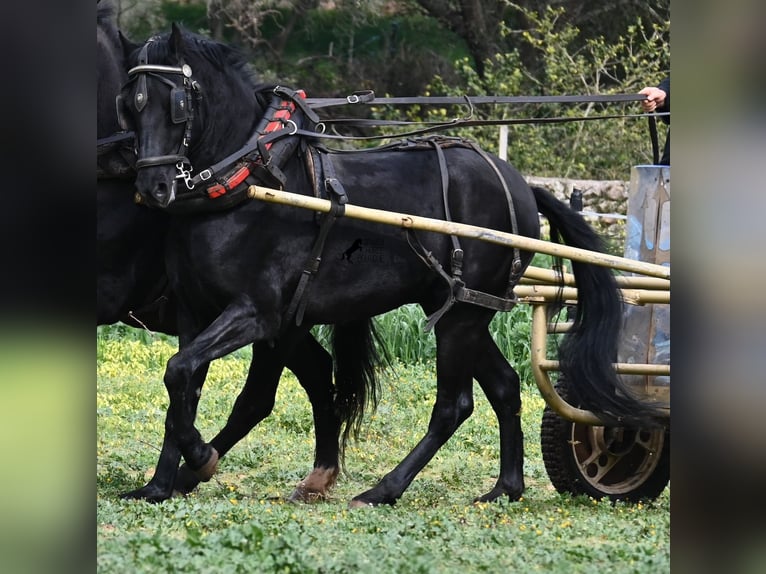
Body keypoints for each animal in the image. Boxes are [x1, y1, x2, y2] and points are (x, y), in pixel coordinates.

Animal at [119, 24, 662, 506]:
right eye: (131, 104)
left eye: (176, 102)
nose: (153, 188)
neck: (250, 183)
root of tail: (521, 184)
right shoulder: (195, 313)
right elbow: (182, 385)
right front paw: (160, 484)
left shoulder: (261, 315)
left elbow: (213, 386)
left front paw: (199, 461)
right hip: (464, 309)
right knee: (506, 387)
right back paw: (505, 488)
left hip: (460, 318)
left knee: (453, 406)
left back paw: (383, 490)